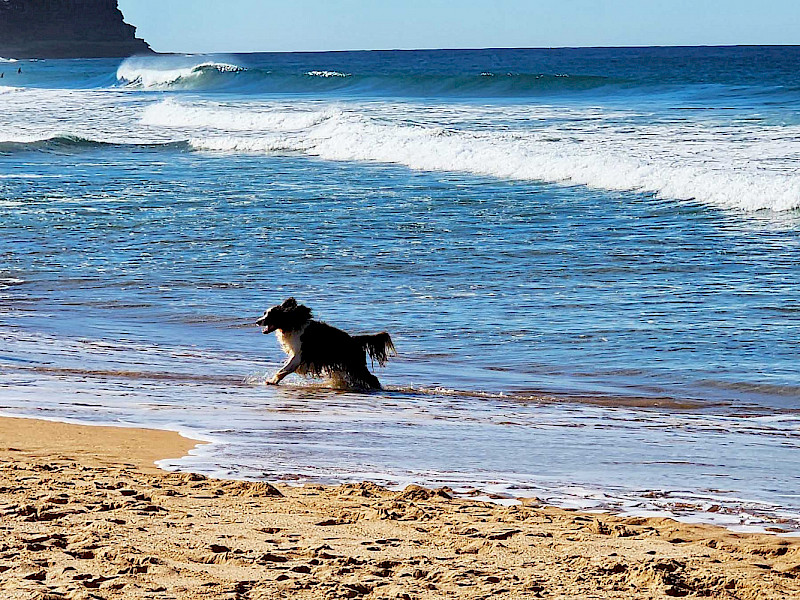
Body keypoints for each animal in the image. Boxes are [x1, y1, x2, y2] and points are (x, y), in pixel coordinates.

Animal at [255, 298, 396, 390]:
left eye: (271, 315)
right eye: (264, 313)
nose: (257, 321)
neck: (292, 323)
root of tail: (355, 340)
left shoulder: (300, 354)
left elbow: (284, 369)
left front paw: (272, 381)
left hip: (355, 365)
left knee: (371, 378)